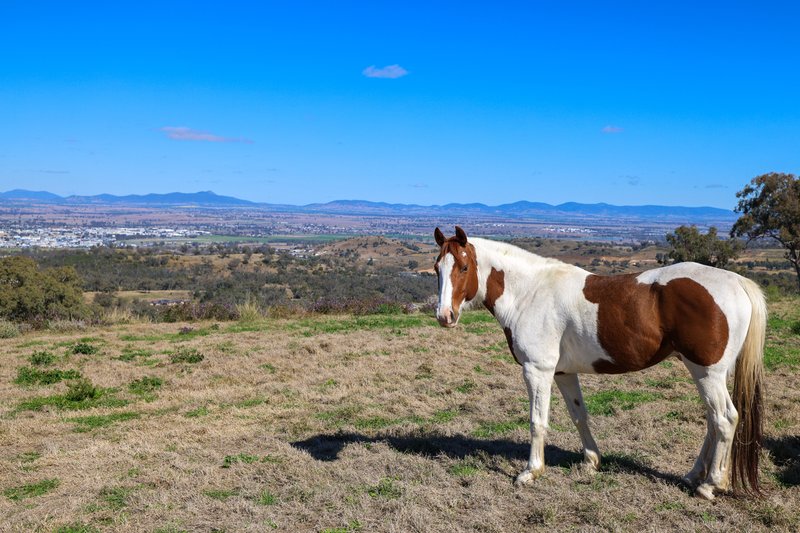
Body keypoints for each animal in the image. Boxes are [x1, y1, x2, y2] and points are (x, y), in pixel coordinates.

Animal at [434, 225, 764, 498]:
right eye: (437, 268)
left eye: (464, 266)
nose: (445, 316)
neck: (530, 293)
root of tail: (737, 282)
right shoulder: (563, 373)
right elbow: (579, 415)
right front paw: (591, 462)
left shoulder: (537, 371)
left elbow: (537, 421)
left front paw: (531, 472)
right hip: (708, 374)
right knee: (712, 421)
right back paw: (694, 475)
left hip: (707, 372)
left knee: (725, 419)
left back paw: (711, 485)